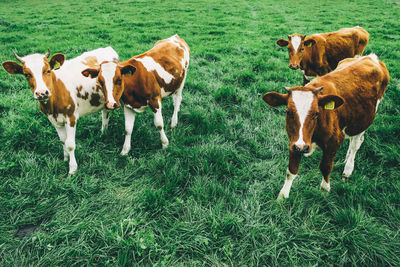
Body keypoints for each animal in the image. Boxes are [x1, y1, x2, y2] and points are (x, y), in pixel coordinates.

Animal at [2, 47, 119, 175]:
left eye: (48, 70)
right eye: (27, 74)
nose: (41, 93)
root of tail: (108, 48)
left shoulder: (71, 117)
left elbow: (70, 144)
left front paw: (72, 169)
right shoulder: (53, 120)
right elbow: (63, 141)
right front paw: (65, 159)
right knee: (105, 113)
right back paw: (103, 132)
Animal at [264, 54, 390, 200]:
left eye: (316, 113)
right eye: (288, 112)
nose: (302, 147)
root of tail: (370, 57)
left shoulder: (333, 142)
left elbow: (325, 167)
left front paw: (325, 190)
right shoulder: (294, 142)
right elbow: (291, 171)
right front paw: (282, 197)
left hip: (364, 120)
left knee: (356, 144)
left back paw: (348, 169)